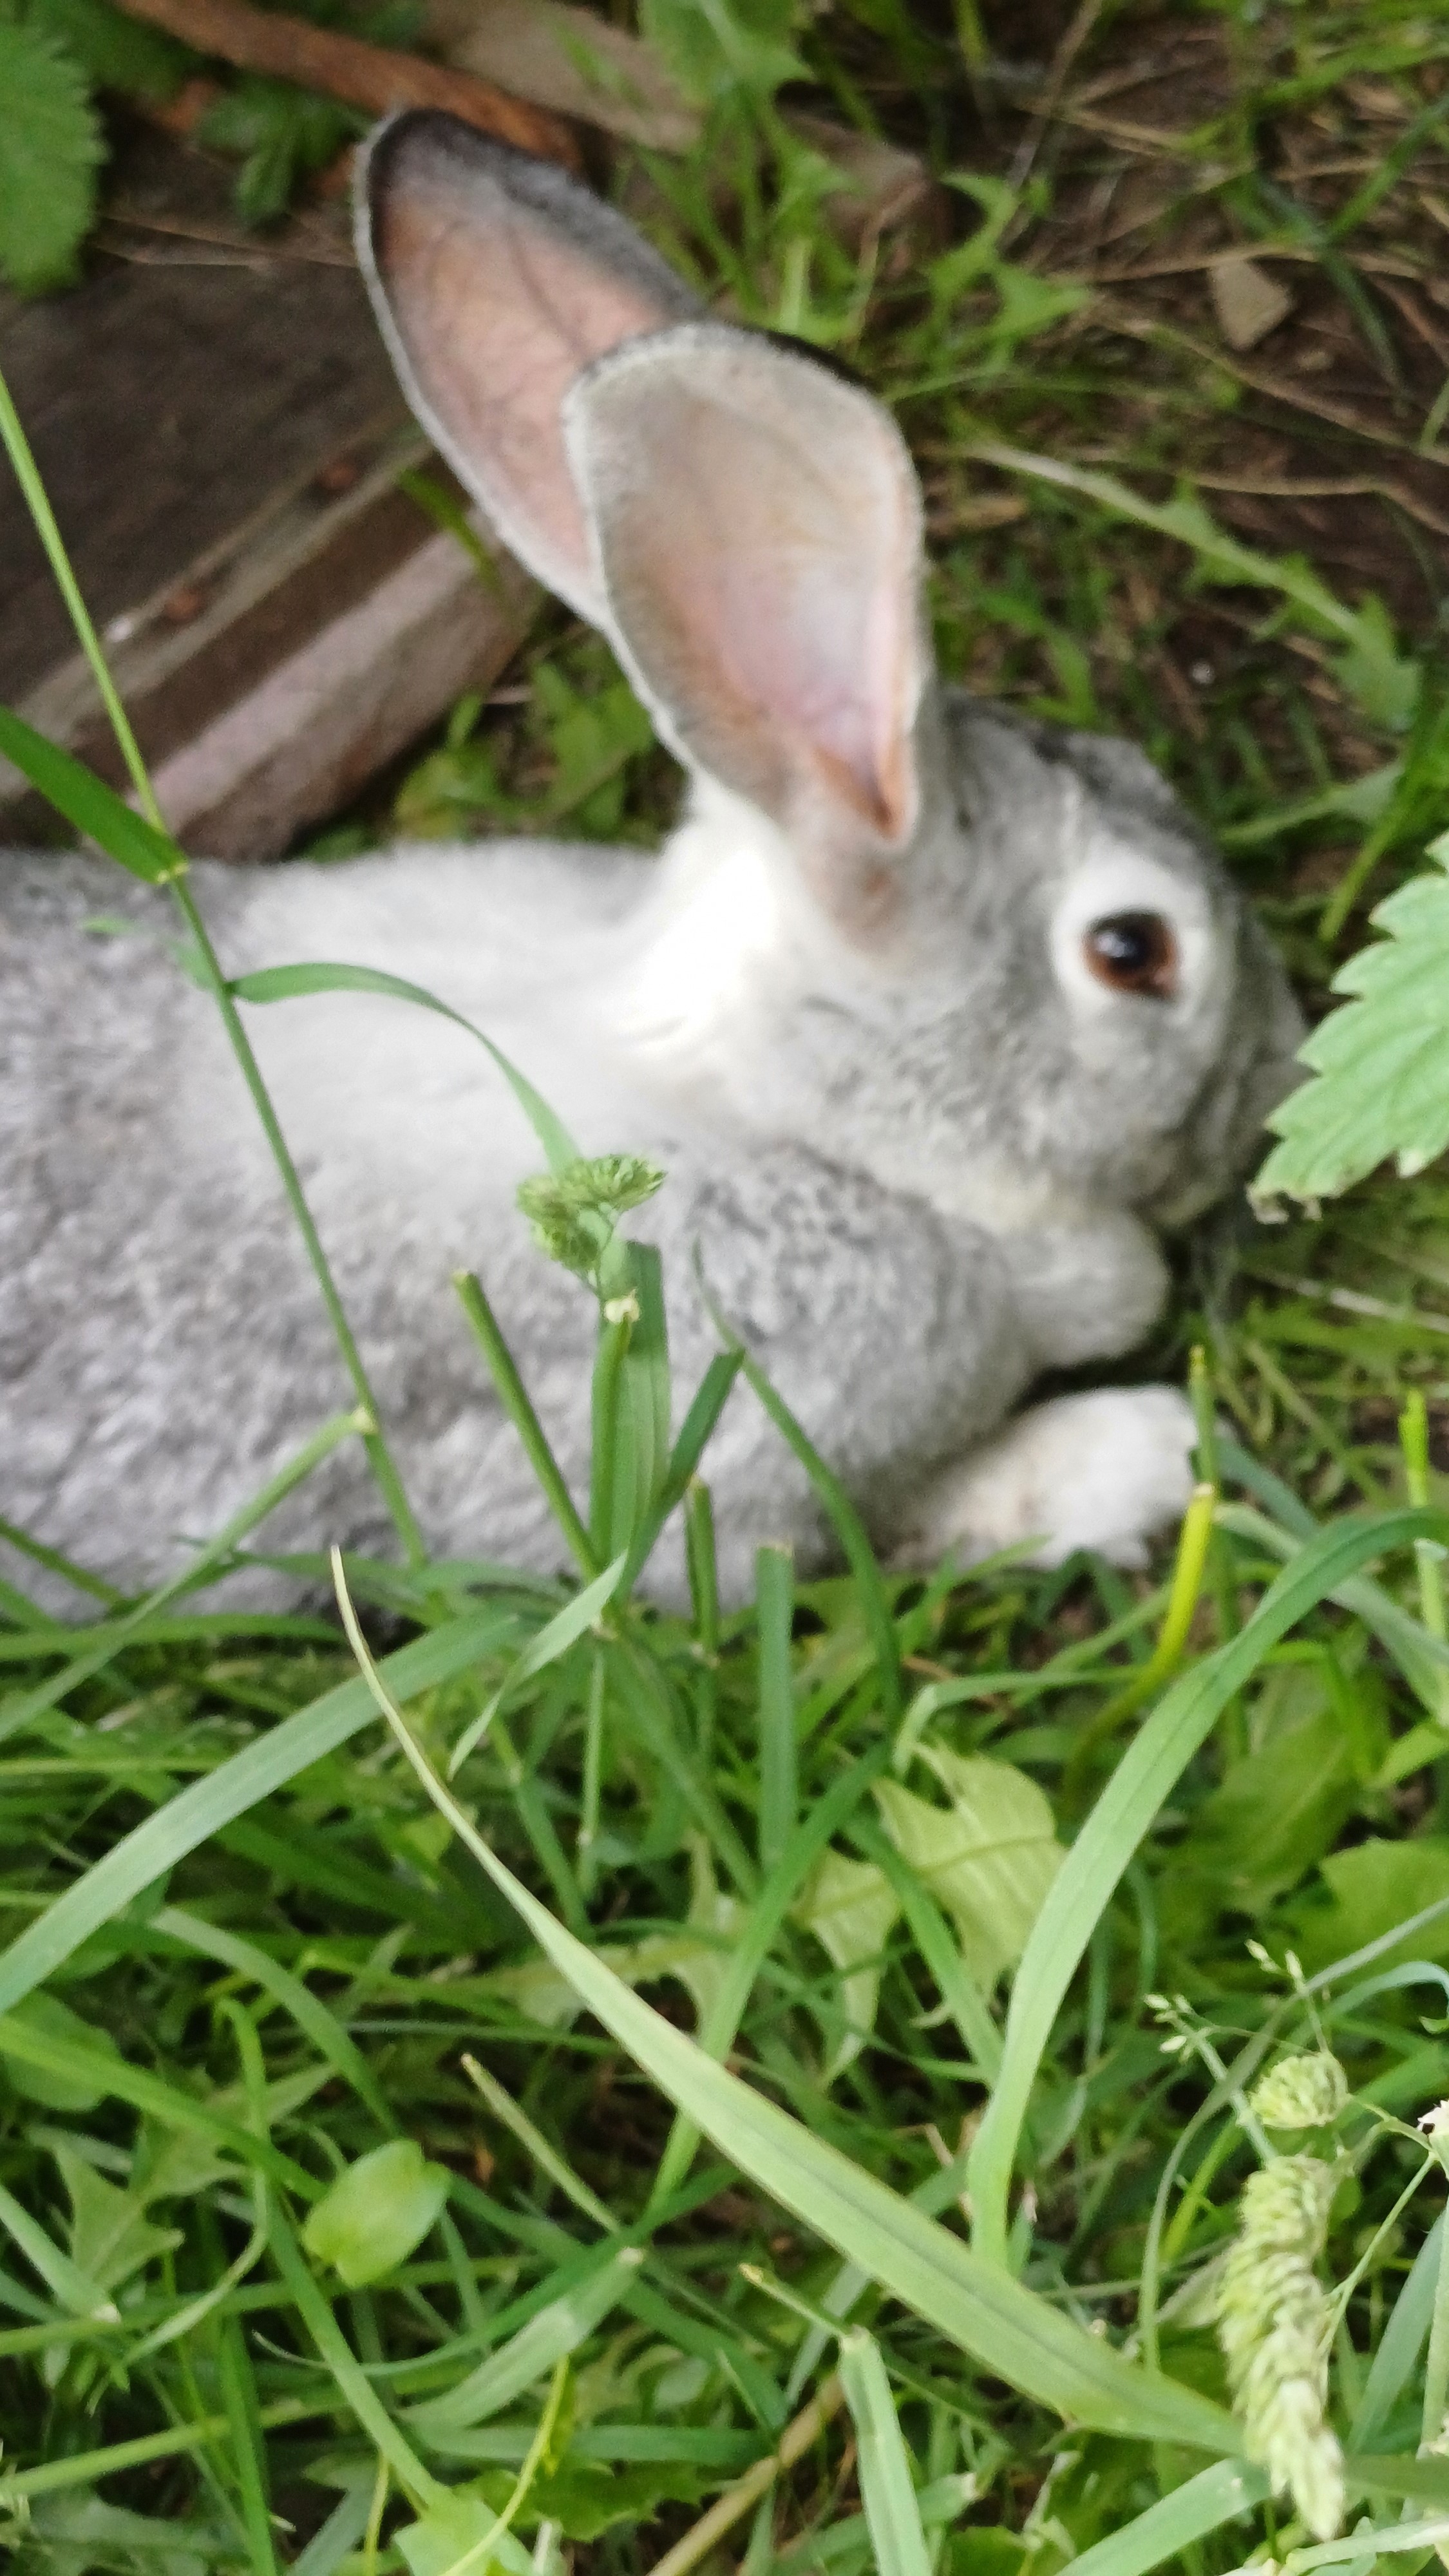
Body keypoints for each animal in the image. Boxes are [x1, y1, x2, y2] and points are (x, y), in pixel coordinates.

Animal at [0, 109, 1304, 1616]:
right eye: (1134, 952)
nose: (1285, 1059)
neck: (782, 1100)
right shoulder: (702, 1481)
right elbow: (852, 1541)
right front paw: (1136, 1459)